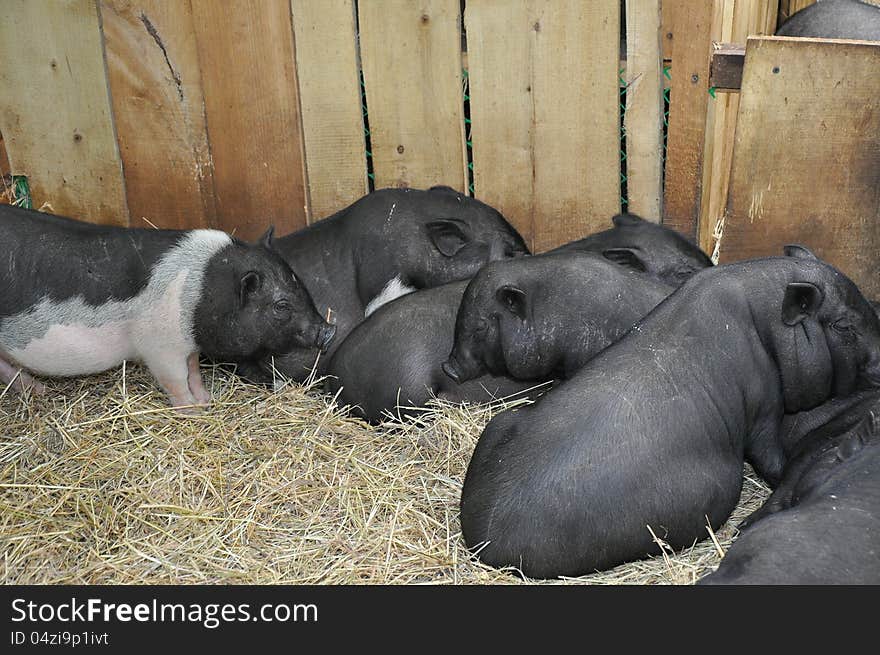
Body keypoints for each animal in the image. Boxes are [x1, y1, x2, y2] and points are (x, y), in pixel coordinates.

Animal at [0, 206, 336, 410]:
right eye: (281, 304)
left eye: (299, 281)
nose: (329, 330)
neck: (200, 292)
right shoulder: (159, 346)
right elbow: (175, 379)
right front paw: (194, 411)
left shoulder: (187, 344)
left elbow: (194, 370)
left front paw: (205, 400)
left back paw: (38, 391)